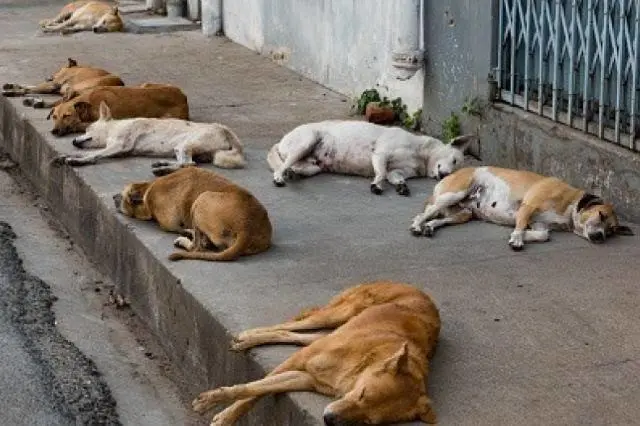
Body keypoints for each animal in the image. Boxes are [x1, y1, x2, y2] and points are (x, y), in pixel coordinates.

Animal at [47, 82, 189, 136]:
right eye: (54, 117)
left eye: (67, 116)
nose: (54, 131)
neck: (89, 104)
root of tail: (183, 96)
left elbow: (79, 125)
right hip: (145, 84)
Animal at [52, 101, 246, 175]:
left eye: (88, 129)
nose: (73, 141)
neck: (115, 127)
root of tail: (223, 129)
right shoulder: (116, 149)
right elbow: (87, 154)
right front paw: (66, 156)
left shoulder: (119, 146)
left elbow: (92, 155)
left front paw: (78, 161)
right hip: (183, 148)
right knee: (187, 163)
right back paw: (163, 164)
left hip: (184, 145)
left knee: (189, 164)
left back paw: (163, 170)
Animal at [113, 167, 272, 262]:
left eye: (123, 195)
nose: (114, 197)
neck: (147, 189)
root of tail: (247, 228)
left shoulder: (168, 221)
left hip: (201, 199)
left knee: (197, 247)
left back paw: (187, 240)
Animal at [192, 282, 442, 424]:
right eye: (363, 394)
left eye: (368, 420)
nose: (329, 419)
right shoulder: (297, 361)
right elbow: (250, 391)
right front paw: (219, 410)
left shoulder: (306, 378)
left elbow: (259, 389)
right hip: (338, 314)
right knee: (294, 325)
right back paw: (248, 336)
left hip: (334, 329)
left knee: (296, 335)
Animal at [410, 166, 636, 250]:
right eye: (600, 214)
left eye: (611, 231)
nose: (600, 237)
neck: (569, 205)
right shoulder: (528, 206)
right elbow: (520, 226)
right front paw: (517, 238)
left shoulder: (541, 226)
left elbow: (542, 235)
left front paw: (521, 236)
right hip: (453, 194)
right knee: (423, 213)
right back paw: (417, 226)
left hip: (463, 213)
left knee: (439, 218)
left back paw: (429, 227)